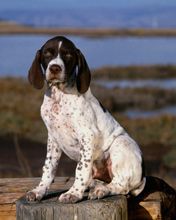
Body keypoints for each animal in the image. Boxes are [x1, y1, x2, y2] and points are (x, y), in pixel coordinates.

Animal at [26, 35, 146, 203]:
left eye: (68, 55)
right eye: (47, 54)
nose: (55, 68)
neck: (59, 96)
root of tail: (142, 178)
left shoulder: (87, 135)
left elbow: (81, 168)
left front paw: (74, 193)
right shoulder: (53, 138)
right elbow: (49, 167)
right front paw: (39, 190)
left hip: (121, 143)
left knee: (121, 185)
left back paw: (101, 190)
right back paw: (96, 186)